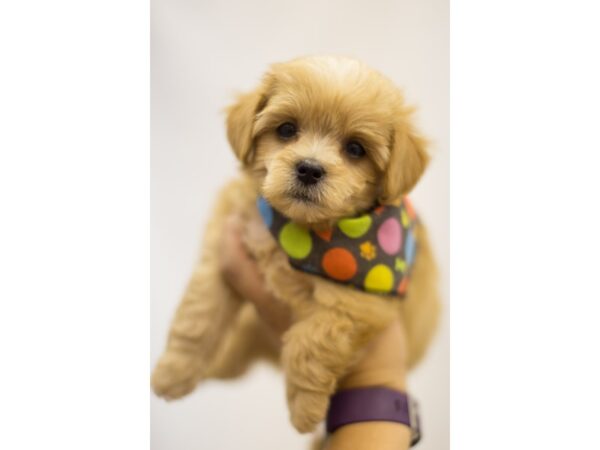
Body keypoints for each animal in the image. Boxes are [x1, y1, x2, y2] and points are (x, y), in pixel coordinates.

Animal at [151, 55, 440, 432]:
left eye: (355, 149)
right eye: (286, 130)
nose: (309, 169)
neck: (298, 230)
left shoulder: (360, 302)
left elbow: (313, 341)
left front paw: (305, 409)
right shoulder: (221, 251)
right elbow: (198, 314)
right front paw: (172, 373)